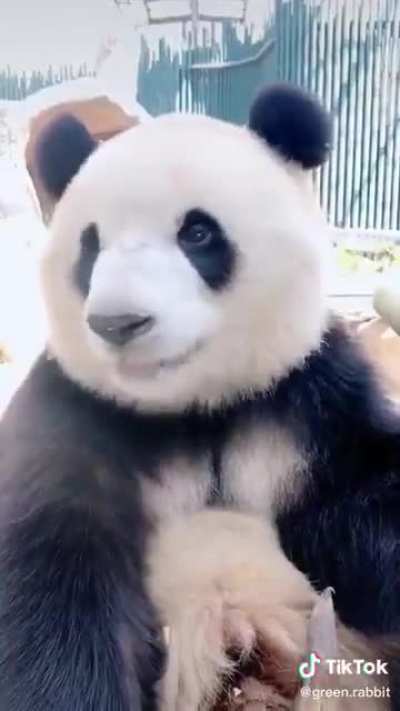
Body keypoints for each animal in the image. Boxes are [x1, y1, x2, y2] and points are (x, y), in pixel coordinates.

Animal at [0, 83, 400, 711]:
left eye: (197, 233)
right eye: (90, 247)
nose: (118, 323)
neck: (192, 411)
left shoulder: (313, 401)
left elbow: (369, 504)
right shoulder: (75, 416)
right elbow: (52, 579)